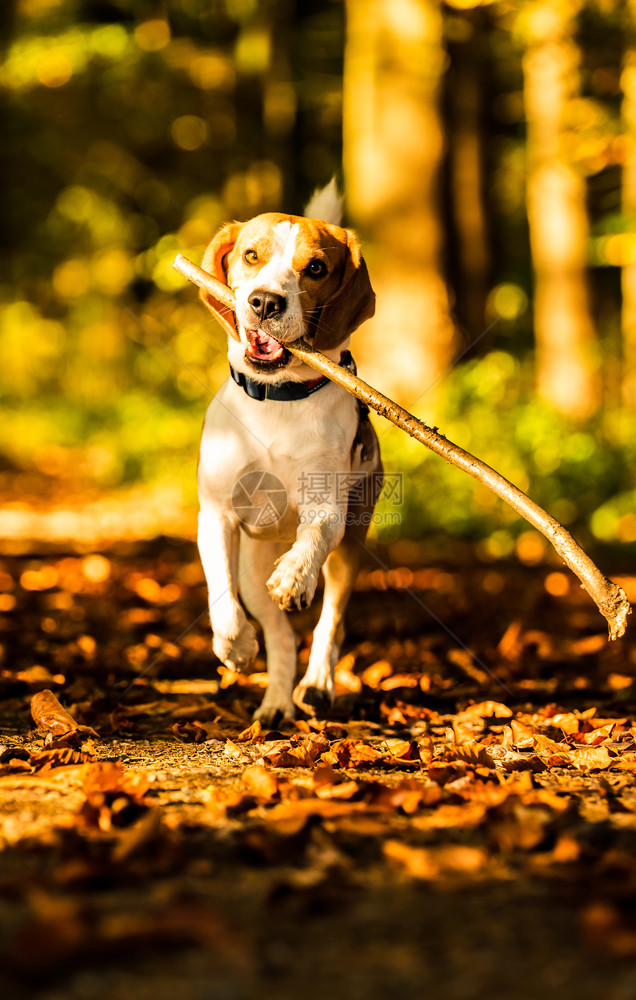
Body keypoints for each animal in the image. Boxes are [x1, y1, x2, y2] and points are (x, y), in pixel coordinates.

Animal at [196, 186, 380, 720]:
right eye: (250, 255)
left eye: (315, 268)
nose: (264, 302)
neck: (279, 399)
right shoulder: (216, 514)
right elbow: (219, 594)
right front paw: (234, 647)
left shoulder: (328, 506)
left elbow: (314, 537)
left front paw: (296, 578)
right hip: (251, 571)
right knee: (278, 634)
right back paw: (276, 701)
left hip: (349, 548)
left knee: (330, 621)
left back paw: (316, 683)